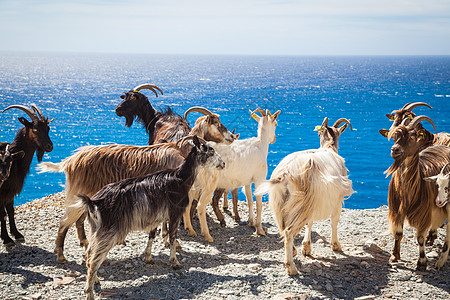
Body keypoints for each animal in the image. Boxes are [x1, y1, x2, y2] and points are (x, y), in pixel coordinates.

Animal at [0, 104, 53, 245]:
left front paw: (17, 234)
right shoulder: (2, 191)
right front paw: (6, 238)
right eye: (35, 130)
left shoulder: (10, 191)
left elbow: (10, 211)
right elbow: (2, 213)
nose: (49, 146)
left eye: (48, 128)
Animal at [79, 137, 227, 300]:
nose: (223, 164)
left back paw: (94, 281)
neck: (180, 178)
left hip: (95, 229)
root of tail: (93, 203)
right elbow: (173, 237)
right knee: (94, 260)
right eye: (211, 151)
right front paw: (175, 262)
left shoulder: (155, 217)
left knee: (89, 254)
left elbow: (152, 235)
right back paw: (90, 292)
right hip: (108, 233)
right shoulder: (174, 213)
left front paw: (148, 258)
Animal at [182, 109, 280, 243]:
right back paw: (207, 235)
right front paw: (260, 230)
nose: (274, 139)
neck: (260, 145)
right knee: (201, 206)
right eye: (275, 124)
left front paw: (251, 223)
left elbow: (249, 200)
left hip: (194, 184)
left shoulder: (247, 181)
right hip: (209, 185)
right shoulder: (259, 179)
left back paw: (190, 230)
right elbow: (258, 204)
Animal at [255, 116, 354, 276]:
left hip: (281, 203)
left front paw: (306, 247)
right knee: (289, 232)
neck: (329, 147)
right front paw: (336, 245)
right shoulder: (336, 200)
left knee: (284, 228)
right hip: (301, 202)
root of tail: (285, 174)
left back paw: (292, 252)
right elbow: (334, 221)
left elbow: (310, 222)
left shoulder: (314, 201)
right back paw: (291, 267)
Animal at [384, 116, 450, 270]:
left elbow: (420, 238)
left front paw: (422, 262)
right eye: (394, 136)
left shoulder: (424, 212)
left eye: (412, 136)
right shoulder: (397, 210)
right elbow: (398, 233)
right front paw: (395, 256)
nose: (394, 149)